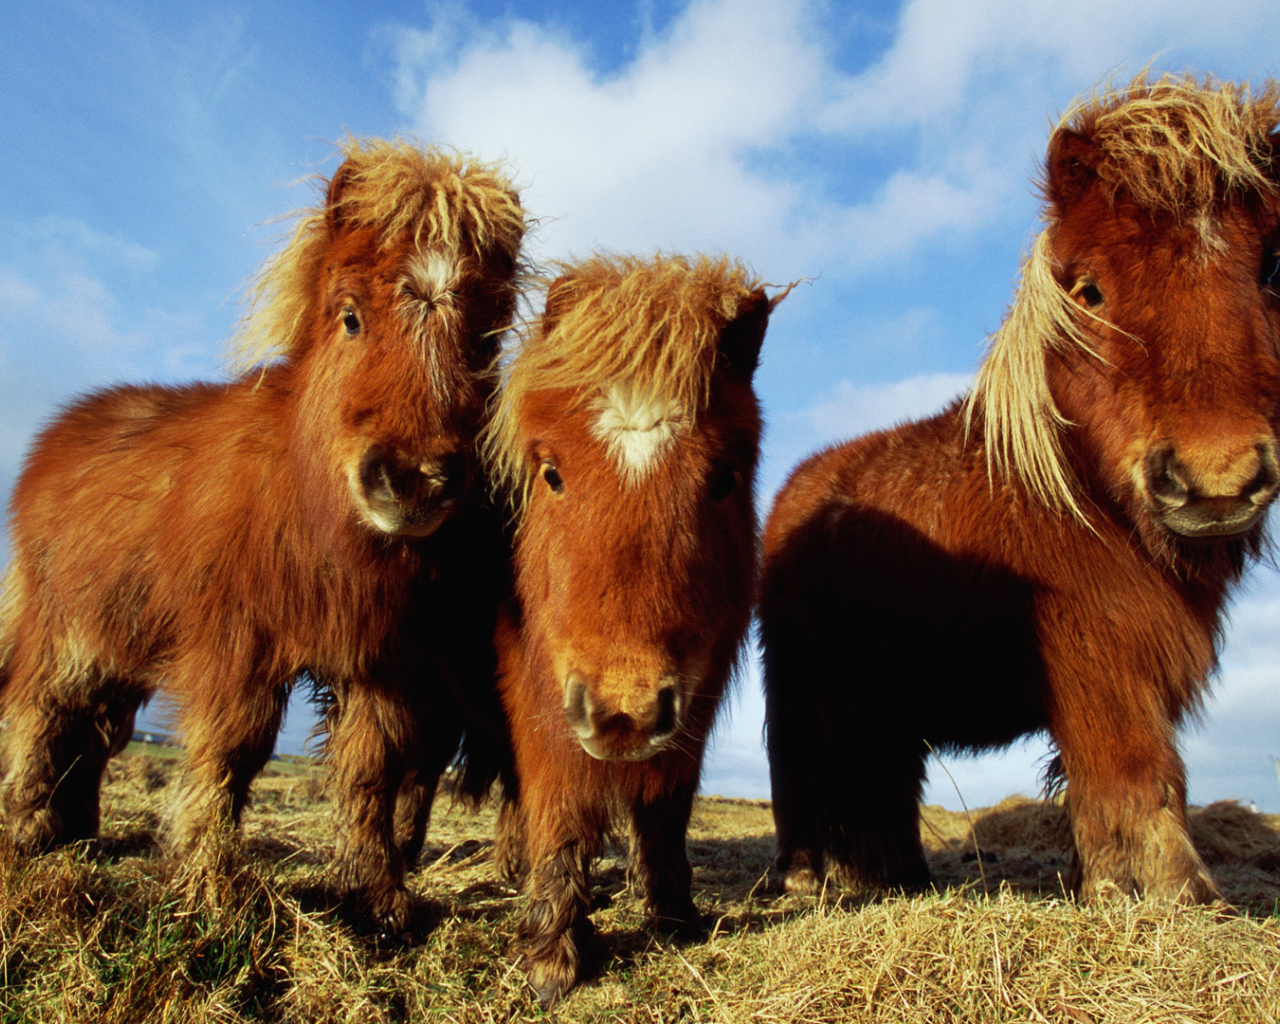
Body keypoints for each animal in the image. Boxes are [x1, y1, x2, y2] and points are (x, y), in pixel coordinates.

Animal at [0, 138, 526, 929]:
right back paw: (25, 833)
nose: (414, 480)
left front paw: (379, 899)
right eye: (350, 317)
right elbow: (230, 754)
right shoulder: (236, 646)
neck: (309, 509)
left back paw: (78, 834)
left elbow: (372, 771)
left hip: (121, 647)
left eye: (486, 342)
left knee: (94, 734)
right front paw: (208, 887)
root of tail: (58, 435)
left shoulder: (383, 661)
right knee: (37, 712)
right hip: (64, 630)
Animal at [480, 253, 779, 1004]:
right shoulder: (542, 691)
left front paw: (674, 916)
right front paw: (552, 955)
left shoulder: (693, 698)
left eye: (724, 478)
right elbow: (559, 806)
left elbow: (667, 806)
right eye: (551, 472)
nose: (625, 713)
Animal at [760, 73, 1280, 904]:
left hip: (880, 697)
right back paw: (811, 879)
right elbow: (1136, 771)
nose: (1218, 478)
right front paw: (1173, 894)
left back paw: (898, 878)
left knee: (880, 782)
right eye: (1090, 291)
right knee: (807, 774)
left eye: (1272, 269)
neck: (1076, 496)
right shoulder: (1097, 658)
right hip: (811, 686)